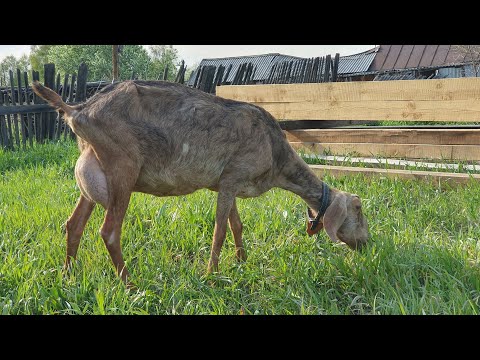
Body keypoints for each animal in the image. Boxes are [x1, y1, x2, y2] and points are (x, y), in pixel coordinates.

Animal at [31, 80, 370, 288]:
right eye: (358, 209)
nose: (367, 244)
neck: (276, 155)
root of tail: (78, 110)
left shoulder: (227, 183)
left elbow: (236, 225)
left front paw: (242, 262)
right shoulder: (232, 177)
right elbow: (220, 230)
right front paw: (212, 275)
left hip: (93, 170)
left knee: (74, 224)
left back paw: (68, 275)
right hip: (121, 167)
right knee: (109, 232)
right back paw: (130, 285)